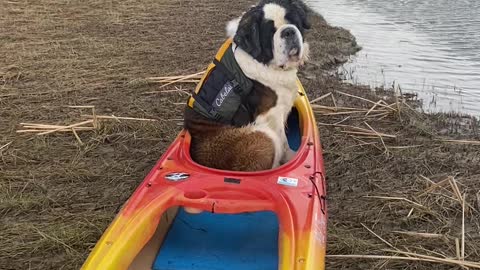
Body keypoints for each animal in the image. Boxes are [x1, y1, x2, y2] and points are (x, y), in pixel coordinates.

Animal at [184, 0, 312, 172]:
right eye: (270, 32)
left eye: (293, 21)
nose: (289, 31)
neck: (263, 61)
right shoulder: (271, 115)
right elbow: (283, 141)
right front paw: (293, 157)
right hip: (263, 136)